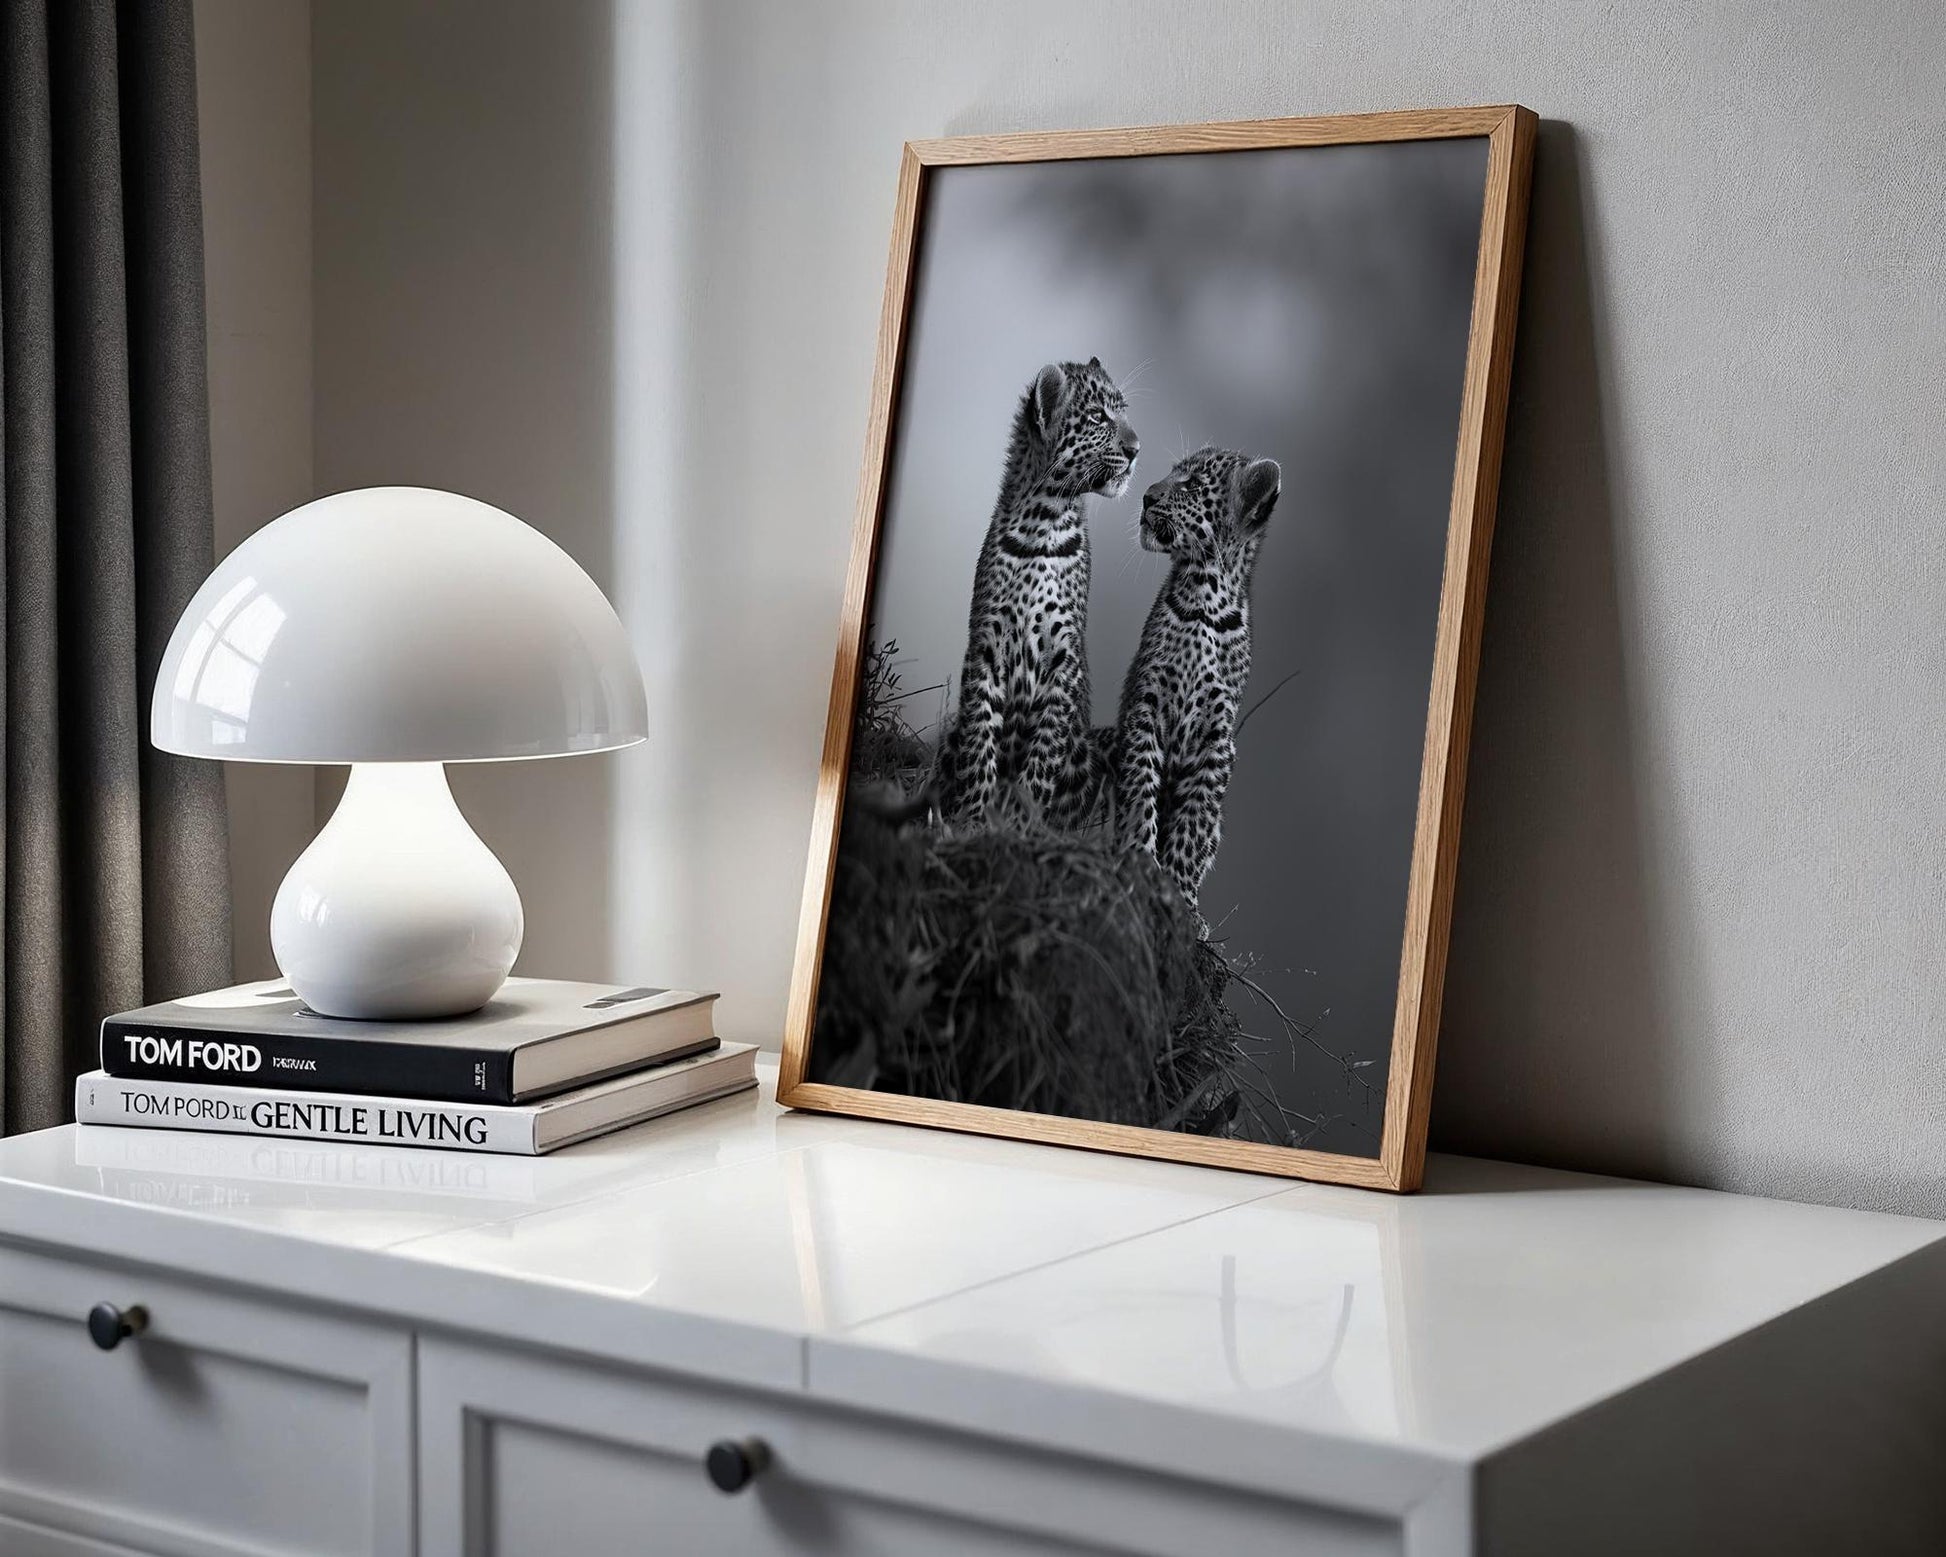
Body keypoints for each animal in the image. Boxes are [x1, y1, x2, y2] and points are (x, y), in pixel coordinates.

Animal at [936, 358, 1139, 826]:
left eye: (1124, 412)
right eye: (1098, 417)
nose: (1137, 448)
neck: (1042, 523)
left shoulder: (1064, 658)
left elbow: (1045, 752)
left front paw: (1021, 823)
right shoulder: (985, 647)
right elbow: (979, 744)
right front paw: (973, 823)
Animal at [1113, 446, 1282, 905]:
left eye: (1191, 485)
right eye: (1172, 475)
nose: (1147, 496)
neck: (1205, 597)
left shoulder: (1217, 735)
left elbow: (1195, 821)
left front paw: (1181, 893)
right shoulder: (1146, 703)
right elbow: (1141, 785)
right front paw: (1140, 855)